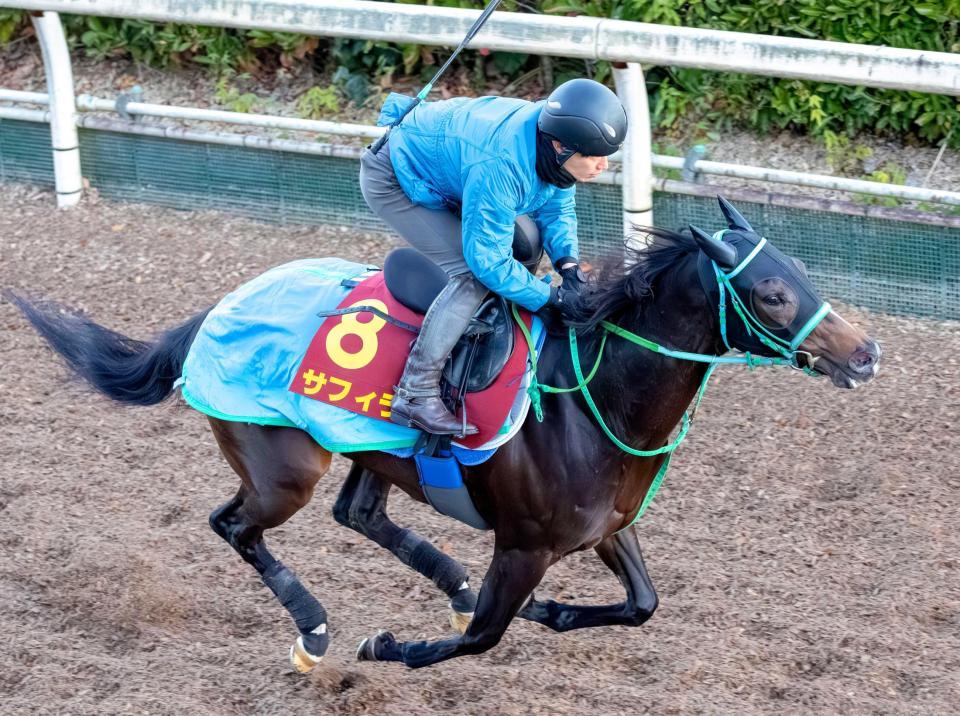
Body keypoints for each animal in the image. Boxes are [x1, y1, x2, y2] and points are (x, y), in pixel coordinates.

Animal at [7, 196, 880, 672]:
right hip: (282, 470)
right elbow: (484, 639)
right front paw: (386, 647)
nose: (865, 352)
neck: (592, 400)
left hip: (373, 454)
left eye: (804, 276)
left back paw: (448, 583)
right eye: (771, 293)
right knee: (235, 526)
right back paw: (317, 630)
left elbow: (643, 604)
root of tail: (217, 310)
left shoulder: (606, 528)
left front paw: (552, 613)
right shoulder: (524, 545)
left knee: (359, 514)